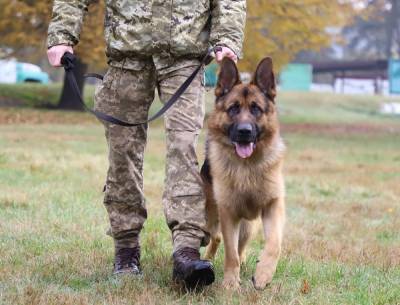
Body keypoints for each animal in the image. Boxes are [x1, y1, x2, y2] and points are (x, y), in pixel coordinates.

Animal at [202, 57, 286, 290]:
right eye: (233, 108)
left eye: (256, 109)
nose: (245, 132)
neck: (247, 167)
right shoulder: (229, 213)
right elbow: (230, 253)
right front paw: (230, 284)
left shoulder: (273, 205)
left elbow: (274, 244)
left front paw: (263, 274)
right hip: (211, 215)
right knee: (216, 237)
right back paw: (207, 260)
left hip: (248, 227)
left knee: (239, 246)